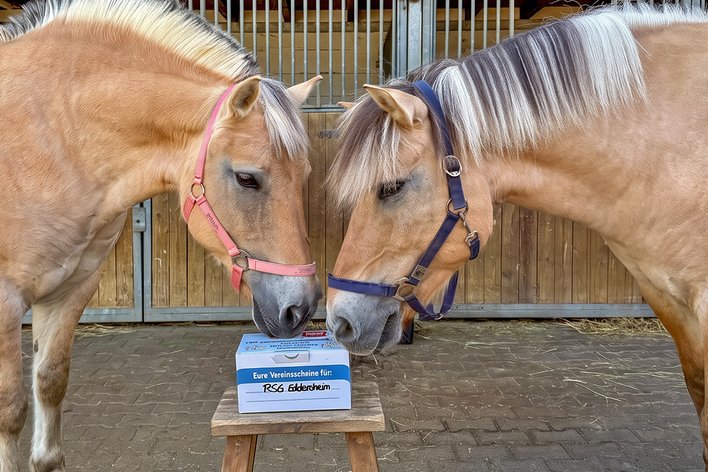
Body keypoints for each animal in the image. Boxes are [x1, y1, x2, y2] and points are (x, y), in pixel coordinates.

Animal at [0, 0, 323, 469]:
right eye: (246, 178)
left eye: (305, 176)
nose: (301, 308)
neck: (52, 138)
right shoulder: (6, 302)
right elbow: (10, 409)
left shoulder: (70, 291)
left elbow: (50, 387)